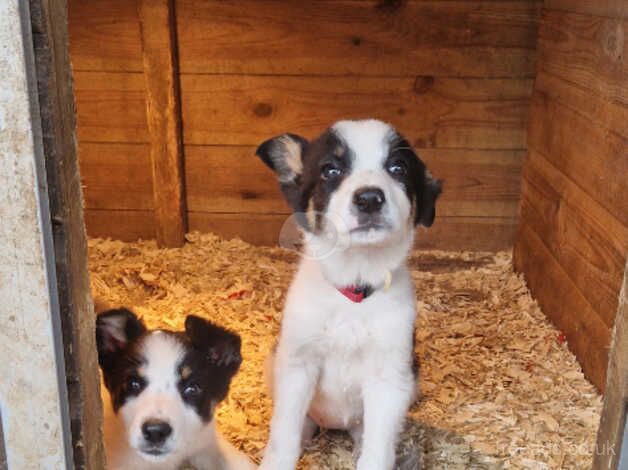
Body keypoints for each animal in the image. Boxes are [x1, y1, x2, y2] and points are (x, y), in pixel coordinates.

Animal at [255, 119, 442, 468]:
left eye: (398, 167)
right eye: (330, 170)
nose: (369, 198)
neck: (354, 289)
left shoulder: (389, 377)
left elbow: (378, 449)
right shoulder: (297, 365)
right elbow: (283, 435)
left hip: (410, 379)